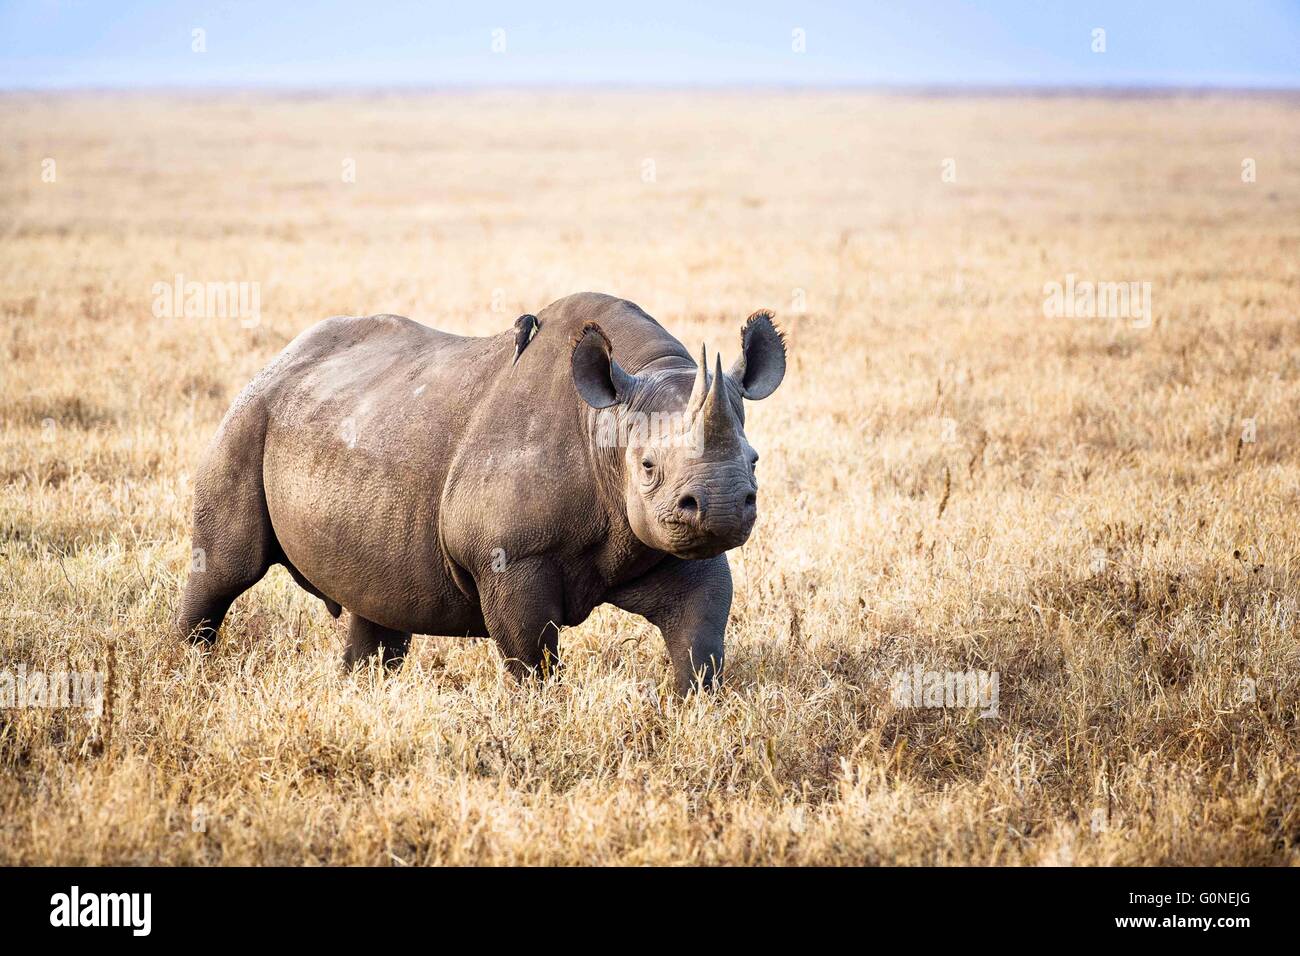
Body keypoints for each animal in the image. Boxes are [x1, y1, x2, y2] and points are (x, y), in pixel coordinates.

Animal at [174, 292, 786, 693]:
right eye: (648, 467)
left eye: (755, 462)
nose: (722, 506)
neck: (606, 424)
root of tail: (280, 358)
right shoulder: (511, 556)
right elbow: (531, 657)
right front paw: (539, 718)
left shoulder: (677, 542)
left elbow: (700, 639)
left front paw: (694, 710)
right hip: (250, 416)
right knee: (224, 570)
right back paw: (186, 668)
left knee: (377, 602)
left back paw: (357, 693)